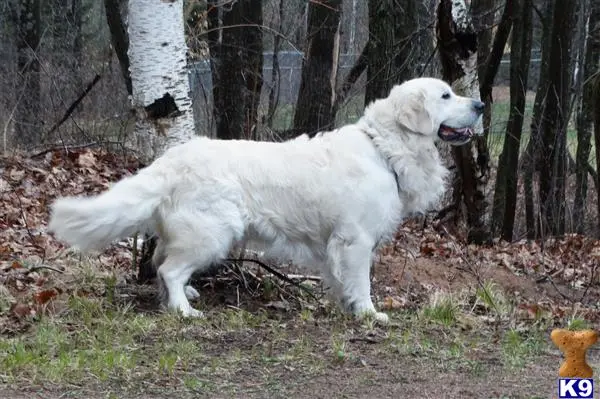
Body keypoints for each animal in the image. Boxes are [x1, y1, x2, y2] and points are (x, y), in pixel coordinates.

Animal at [49, 78, 486, 324]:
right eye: (446, 95)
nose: (481, 104)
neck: (384, 148)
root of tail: (170, 161)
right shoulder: (356, 240)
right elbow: (362, 281)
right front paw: (369, 313)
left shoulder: (336, 244)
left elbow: (339, 279)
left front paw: (345, 307)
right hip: (213, 232)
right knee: (170, 269)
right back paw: (184, 311)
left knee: (159, 264)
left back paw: (178, 299)